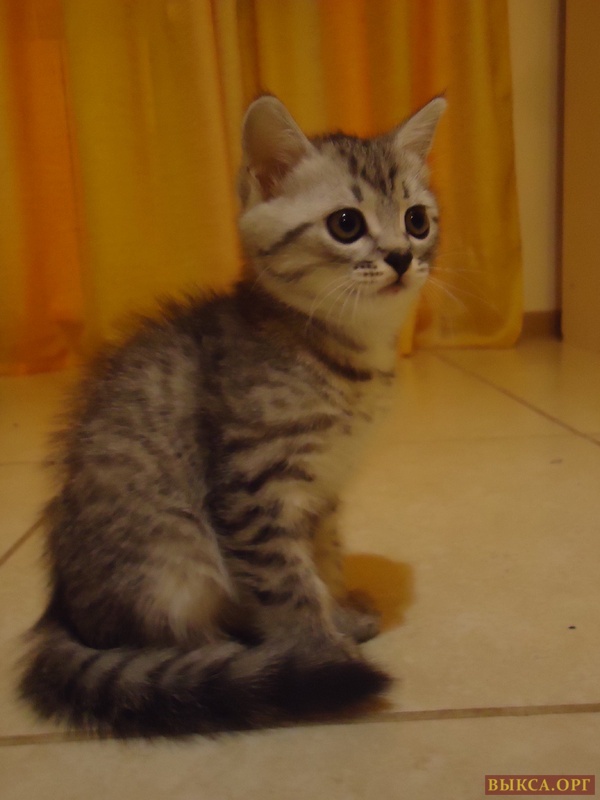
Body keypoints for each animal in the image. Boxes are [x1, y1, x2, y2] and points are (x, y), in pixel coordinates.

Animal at [19, 93, 445, 737]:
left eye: (417, 220)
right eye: (347, 224)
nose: (401, 256)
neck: (343, 354)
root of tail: (59, 609)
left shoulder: (322, 491)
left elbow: (322, 558)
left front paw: (338, 614)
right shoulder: (252, 488)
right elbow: (288, 585)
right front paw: (322, 653)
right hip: (173, 562)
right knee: (172, 645)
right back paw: (248, 664)